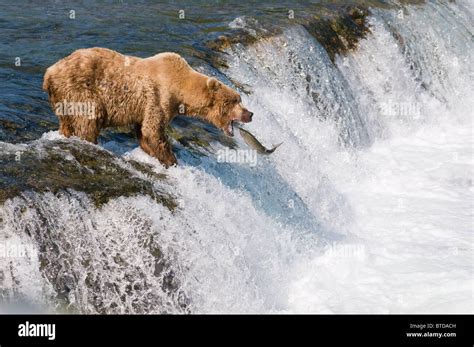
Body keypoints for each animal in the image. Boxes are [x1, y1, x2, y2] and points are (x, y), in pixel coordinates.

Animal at [42, 48, 254, 168]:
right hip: (81, 90)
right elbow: (153, 130)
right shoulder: (158, 98)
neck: (181, 89)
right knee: (89, 118)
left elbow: (144, 131)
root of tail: (49, 72)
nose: (250, 113)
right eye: (234, 100)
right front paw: (171, 160)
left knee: (68, 122)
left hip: (63, 99)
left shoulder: (144, 107)